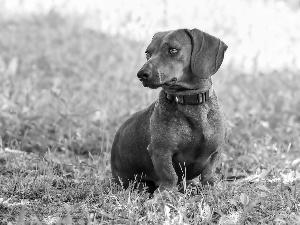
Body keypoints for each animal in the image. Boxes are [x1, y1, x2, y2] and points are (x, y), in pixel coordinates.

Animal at [110, 28, 227, 193]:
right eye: (148, 53)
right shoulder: (160, 150)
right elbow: (169, 175)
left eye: (173, 50)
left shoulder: (216, 150)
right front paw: (166, 193)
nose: (141, 74)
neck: (190, 103)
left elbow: (208, 173)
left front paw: (211, 188)